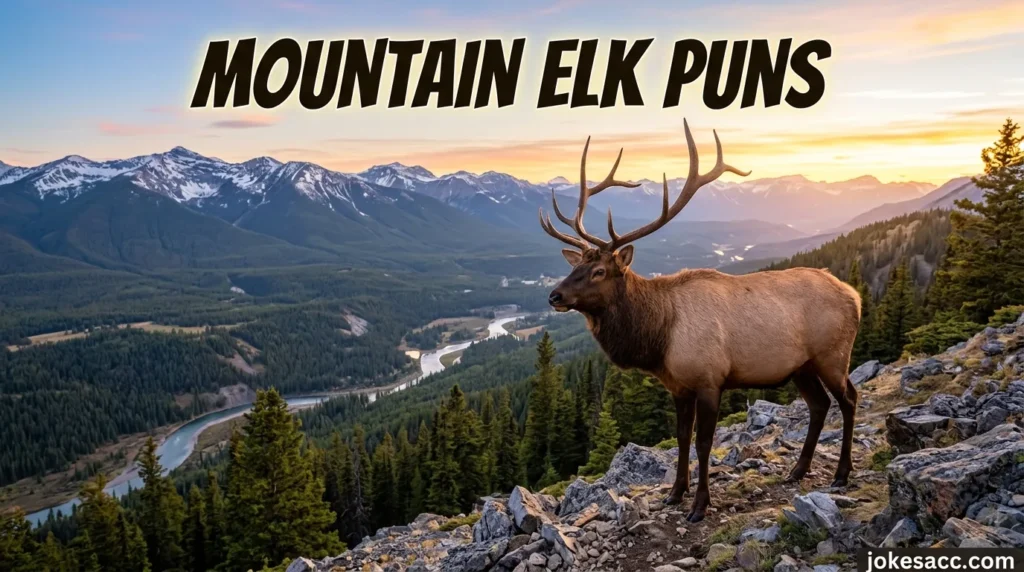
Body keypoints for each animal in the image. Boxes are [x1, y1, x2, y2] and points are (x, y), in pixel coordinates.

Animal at [539, 120, 861, 523]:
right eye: (575, 267)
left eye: (598, 271)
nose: (554, 296)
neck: (659, 337)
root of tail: (855, 296)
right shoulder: (678, 386)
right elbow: (681, 437)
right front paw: (675, 493)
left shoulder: (711, 379)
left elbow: (704, 442)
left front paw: (700, 504)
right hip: (801, 366)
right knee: (819, 406)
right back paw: (797, 470)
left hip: (833, 354)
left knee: (849, 398)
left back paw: (842, 473)